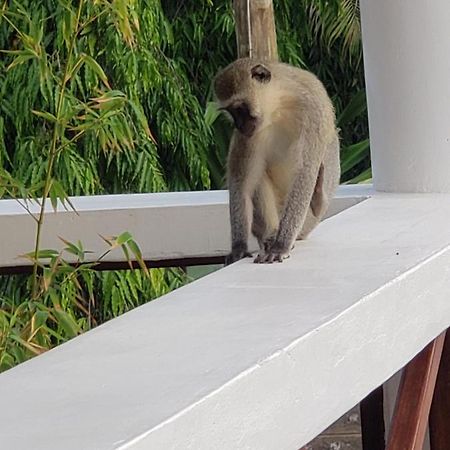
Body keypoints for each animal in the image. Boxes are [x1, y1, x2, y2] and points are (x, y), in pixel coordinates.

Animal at [215, 59, 342, 264]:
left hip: (308, 221)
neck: (279, 105)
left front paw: (281, 245)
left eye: (240, 109)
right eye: (231, 112)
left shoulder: (313, 111)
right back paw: (271, 235)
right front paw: (239, 247)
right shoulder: (250, 136)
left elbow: (305, 173)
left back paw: (317, 199)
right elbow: (242, 183)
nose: (239, 126)